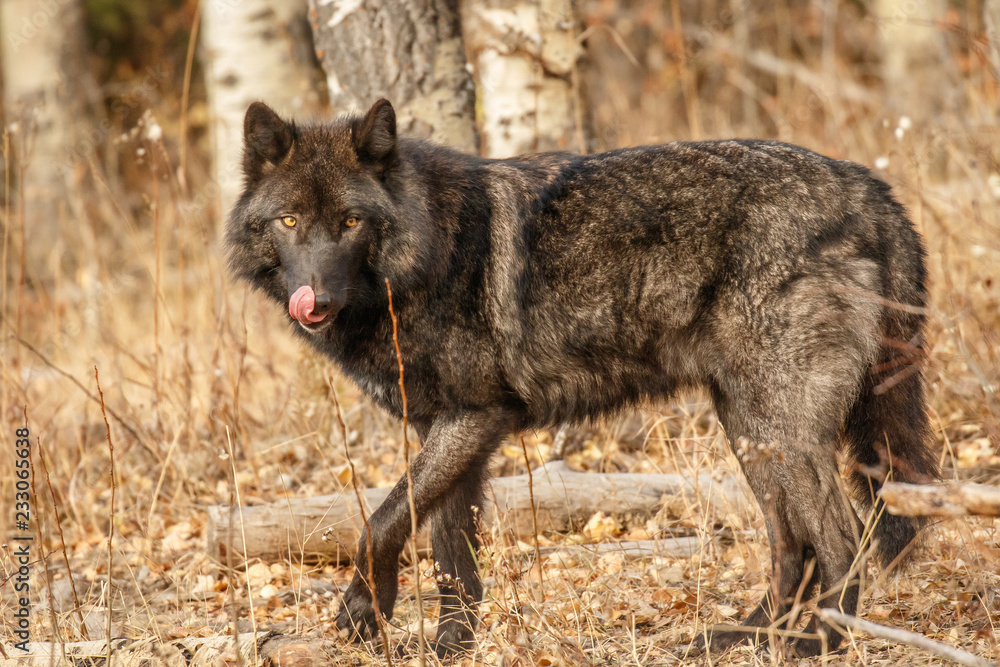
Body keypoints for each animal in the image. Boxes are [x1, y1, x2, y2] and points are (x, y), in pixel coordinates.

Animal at [226, 99, 938, 658]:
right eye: (290, 221)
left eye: (351, 221)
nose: (314, 302)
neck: (424, 257)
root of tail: (870, 188)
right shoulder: (449, 429)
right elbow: (451, 554)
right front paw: (452, 645)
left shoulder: (473, 418)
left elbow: (381, 522)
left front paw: (362, 615)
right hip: (752, 428)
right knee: (791, 544)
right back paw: (751, 637)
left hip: (779, 428)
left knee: (841, 537)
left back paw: (821, 644)